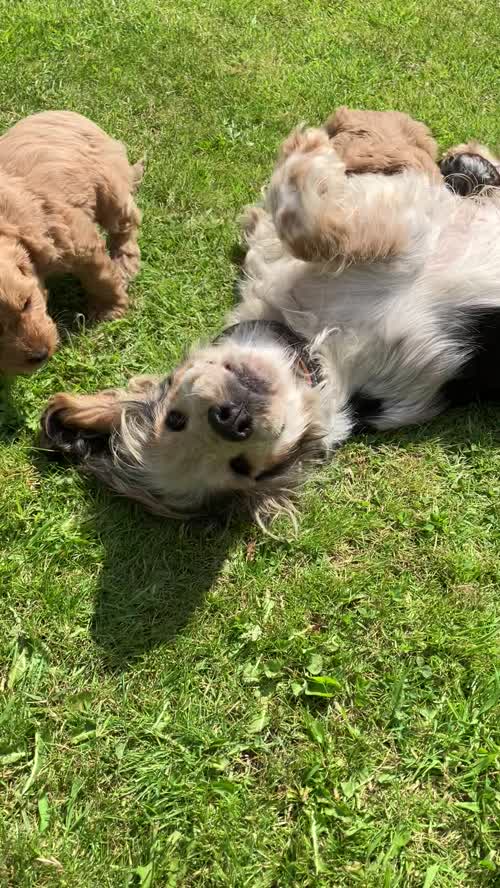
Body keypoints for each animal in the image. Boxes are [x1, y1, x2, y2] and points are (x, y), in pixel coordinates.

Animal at [42, 111, 500, 528]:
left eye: (173, 418)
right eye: (242, 468)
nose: (231, 420)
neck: (316, 344)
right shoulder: (405, 234)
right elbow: (313, 225)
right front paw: (309, 152)